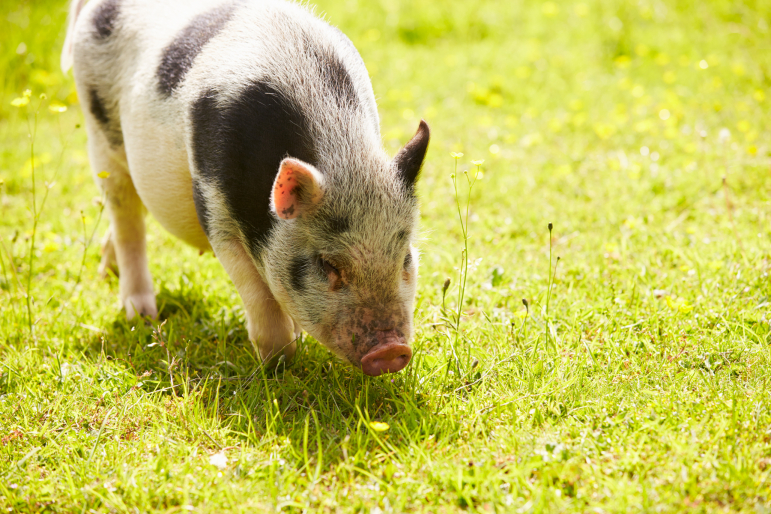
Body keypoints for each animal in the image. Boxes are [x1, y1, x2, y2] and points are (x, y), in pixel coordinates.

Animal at [61, 0, 428, 376]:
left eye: (405, 257)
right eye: (327, 264)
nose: (392, 351)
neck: (344, 158)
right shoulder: (212, 204)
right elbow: (257, 291)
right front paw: (277, 366)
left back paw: (109, 272)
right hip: (100, 136)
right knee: (126, 219)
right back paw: (141, 315)